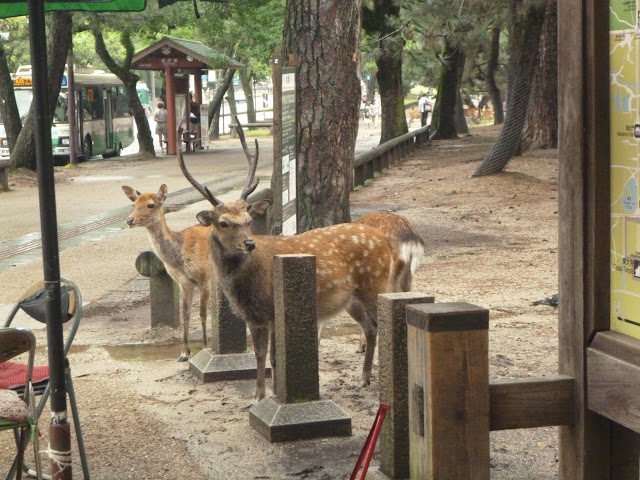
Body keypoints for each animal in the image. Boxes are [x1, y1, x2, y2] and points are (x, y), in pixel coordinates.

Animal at [120, 184, 210, 360]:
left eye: (150, 204)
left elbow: (203, 313)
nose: (129, 220)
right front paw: (184, 353)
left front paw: (204, 348)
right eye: (134, 204)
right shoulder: (184, 283)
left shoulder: (204, 279)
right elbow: (185, 314)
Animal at [178, 124, 422, 402]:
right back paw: (363, 379)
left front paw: (272, 396)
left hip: (376, 284)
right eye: (223, 223)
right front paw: (258, 397)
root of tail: (385, 241)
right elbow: (260, 356)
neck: (247, 286)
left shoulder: (272, 311)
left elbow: (274, 357)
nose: (249, 243)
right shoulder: (254, 316)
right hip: (351, 299)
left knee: (380, 322)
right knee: (370, 328)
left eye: (248, 220)